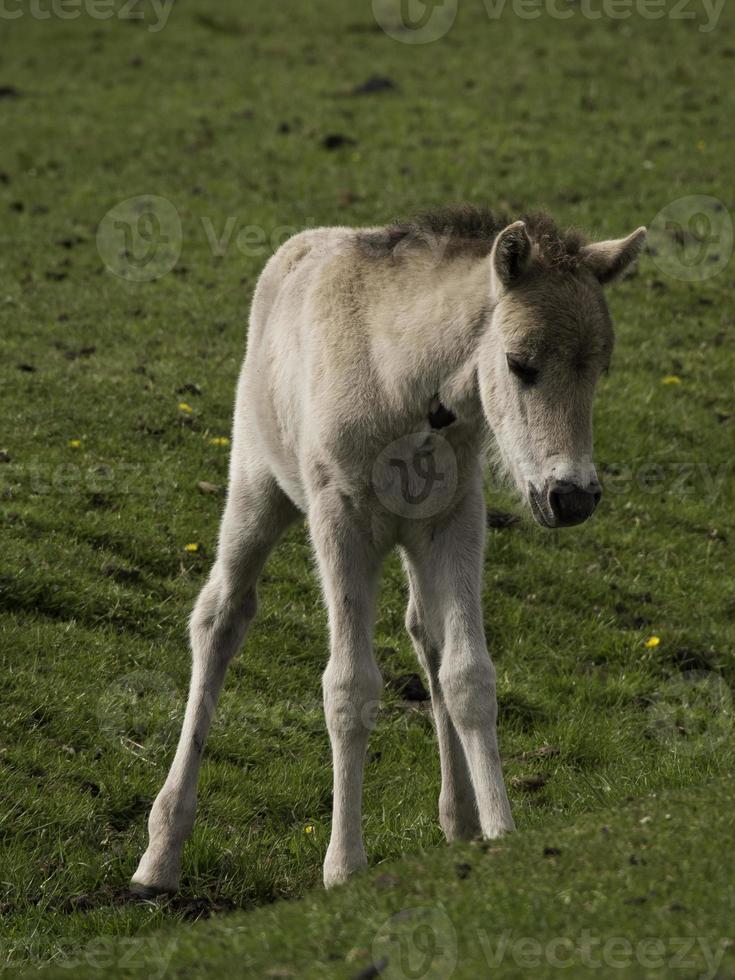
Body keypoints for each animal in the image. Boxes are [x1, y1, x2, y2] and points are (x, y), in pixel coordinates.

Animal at [131, 207, 644, 896]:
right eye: (520, 363)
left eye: (600, 370)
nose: (573, 497)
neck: (405, 384)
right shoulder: (342, 518)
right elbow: (349, 687)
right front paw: (345, 867)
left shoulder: (456, 520)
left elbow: (469, 675)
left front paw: (502, 833)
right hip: (257, 488)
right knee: (220, 616)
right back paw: (160, 854)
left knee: (425, 633)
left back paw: (461, 821)